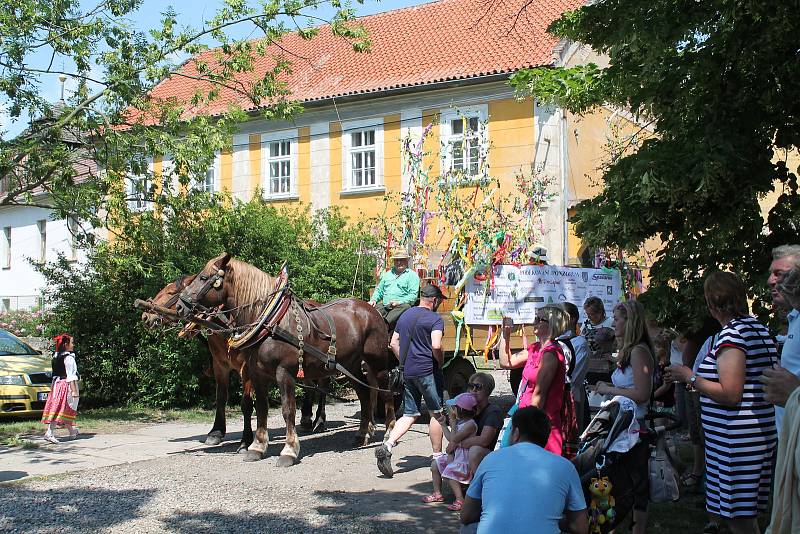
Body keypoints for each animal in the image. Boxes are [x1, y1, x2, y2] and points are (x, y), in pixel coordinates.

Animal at [142, 274, 330, 450]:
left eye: (171, 292)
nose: (145, 316)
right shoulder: (220, 366)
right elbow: (221, 397)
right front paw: (216, 432)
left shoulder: (247, 368)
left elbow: (246, 403)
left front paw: (246, 440)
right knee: (310, 386)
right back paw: (306, 418)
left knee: (322, 386)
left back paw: (319, 421)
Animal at [177, 253, 396, 466]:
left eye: (203, 278)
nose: (180, 306)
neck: (270, 322)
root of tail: (371, 309)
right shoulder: (256, 373)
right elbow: (262, 409)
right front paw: (257, 447)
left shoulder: (285, 372)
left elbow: (288, 410)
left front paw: (289, 450)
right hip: (350, 364)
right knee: (364, 393)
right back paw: (362, 434)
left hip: (378, 363)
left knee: (386, 393)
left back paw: (389, 432)